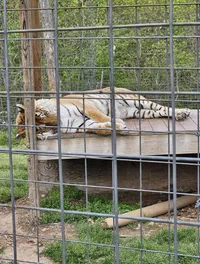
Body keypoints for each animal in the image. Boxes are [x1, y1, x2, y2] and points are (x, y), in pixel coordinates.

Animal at [15, 87, 189, 140]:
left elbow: (102, 117)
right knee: (159, 112)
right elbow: (100, 128)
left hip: (136, 101)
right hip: (139, 112)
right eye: (39, 129)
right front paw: (120, 128)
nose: (57, 124)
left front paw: (118, 123)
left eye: (40, 117)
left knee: (163, 107)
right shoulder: (82, 124)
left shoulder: (85, 106)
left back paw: (182, 112)